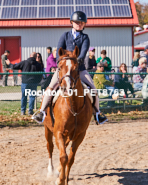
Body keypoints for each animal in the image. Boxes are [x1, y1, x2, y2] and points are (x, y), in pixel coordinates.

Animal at [43, 46, 92, 185]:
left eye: (76, 68)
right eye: (59, 68)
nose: (66, 88)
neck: (74, 107)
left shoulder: (80, 135)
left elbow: (70, 158)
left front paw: (64, 178)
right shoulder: (58, 132)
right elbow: (63, 157)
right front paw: (60, 180)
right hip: (48, 130)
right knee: (50, 147)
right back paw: (51, 171)